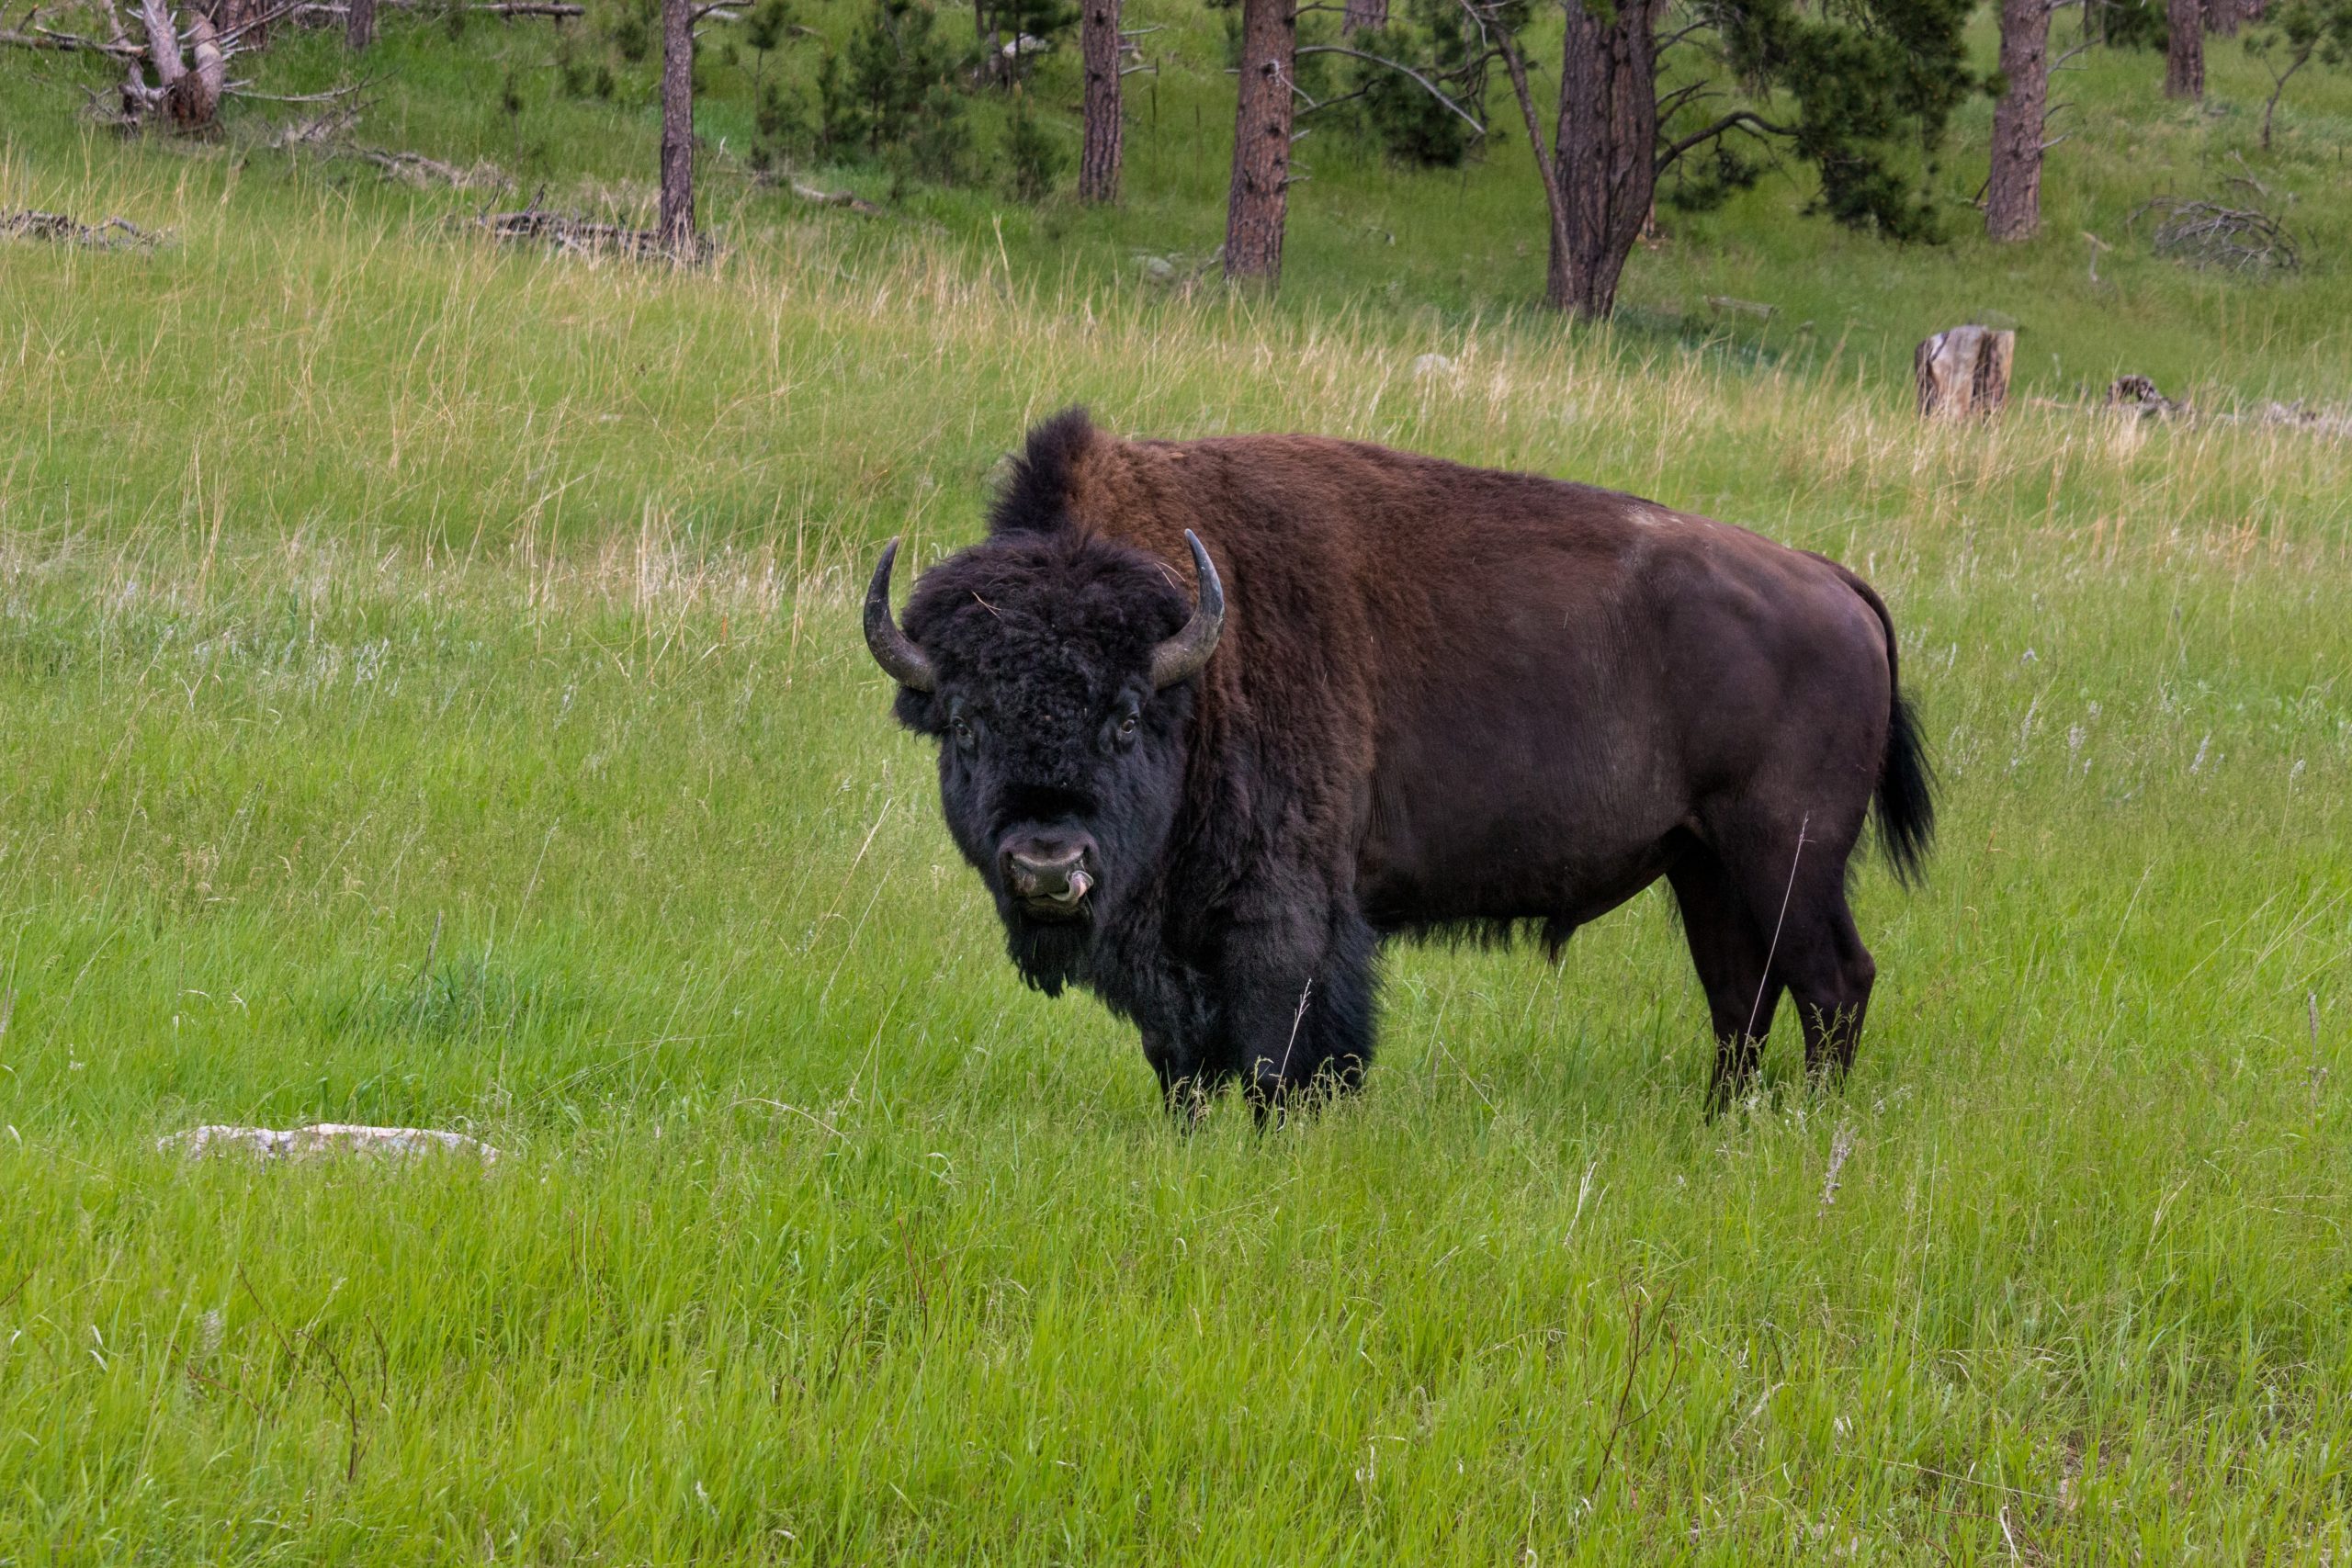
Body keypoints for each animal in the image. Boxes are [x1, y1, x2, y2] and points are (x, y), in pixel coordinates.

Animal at [865, 411, 1928, 1109]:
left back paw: (1807, 1127)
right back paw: (1720, 1125)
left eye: (1125, 718)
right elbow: (1184, 1064)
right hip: (1702, 863)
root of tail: (1832, 581)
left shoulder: (1285, 918)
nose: (1047, 865)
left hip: (1786, 856)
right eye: (963, 722)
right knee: (1740, 996)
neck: (1196, 665)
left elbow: (1282, 1055)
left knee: (1834, 984)